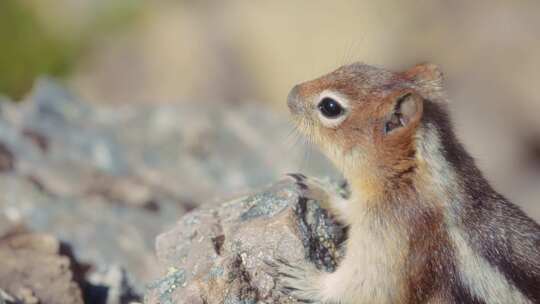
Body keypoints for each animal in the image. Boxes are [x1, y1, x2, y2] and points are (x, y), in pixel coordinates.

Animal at [276, 63, 540, 302]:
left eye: (330, 107)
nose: (290, 93)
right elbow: (349, 209)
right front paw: (319, 189)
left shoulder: (391, 241)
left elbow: (363, 289)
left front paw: (304, 278)